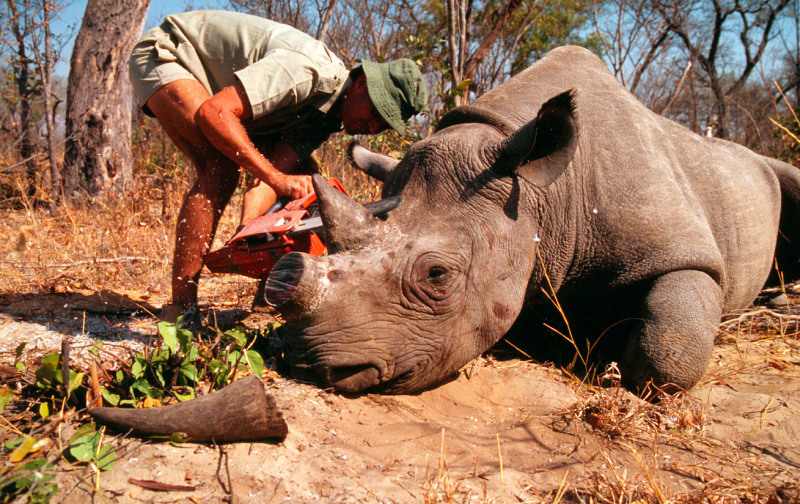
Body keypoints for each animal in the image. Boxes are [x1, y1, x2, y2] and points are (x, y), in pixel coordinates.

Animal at [264, 45, 800, 394]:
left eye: (438, 275)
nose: (313, 365)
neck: (543, 193)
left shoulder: (682, 250)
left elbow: (666, 354)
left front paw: (610, 360)